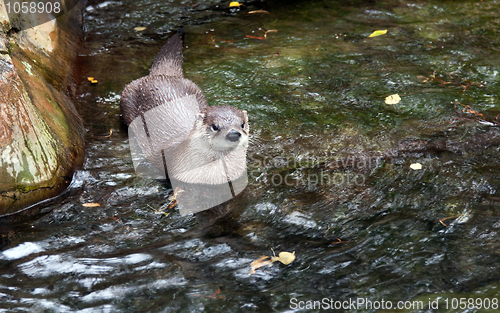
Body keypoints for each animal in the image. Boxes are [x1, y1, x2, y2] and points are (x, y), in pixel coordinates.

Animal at [119, 28, 248, 194]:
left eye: (242, 124)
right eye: (215, 126)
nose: (233, 134)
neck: (212, 177)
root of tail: (163, 75)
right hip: (127, 95)